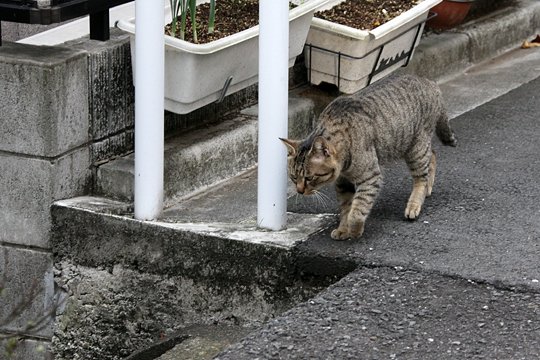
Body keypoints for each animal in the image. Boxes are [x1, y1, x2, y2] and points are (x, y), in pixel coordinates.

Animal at [282, 74, 456, 240]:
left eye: (310, 178)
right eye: (293, 177)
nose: (299, 191)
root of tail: (429, 82)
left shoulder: (371, 177)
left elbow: (357, 210)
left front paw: (355, 230)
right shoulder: (342, 183)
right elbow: (346, 208)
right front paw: (343, 229)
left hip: (416, 149)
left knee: (421, 177)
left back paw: (414, 205)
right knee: (433, 155)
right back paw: (428, 188)